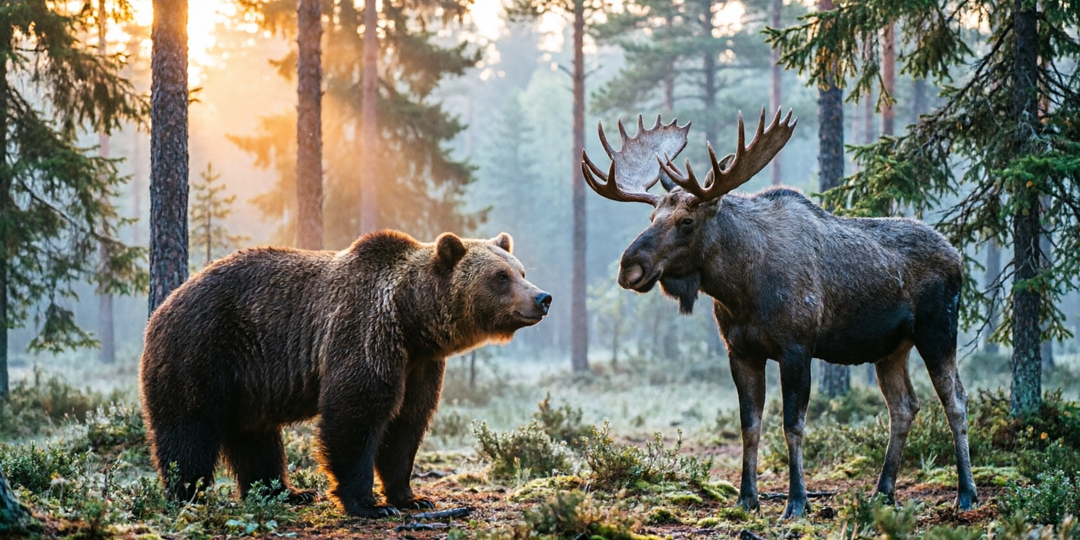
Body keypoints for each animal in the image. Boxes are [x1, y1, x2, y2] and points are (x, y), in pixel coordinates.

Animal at [139, 230, 551, 517]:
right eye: (500, 276)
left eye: (520, 270)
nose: (542, 297)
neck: (411, 319)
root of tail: (163, 305)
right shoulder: (365, 332)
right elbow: (356, 413)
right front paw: (370, 504)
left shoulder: (419, 364)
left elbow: (407, 423)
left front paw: (413, 497)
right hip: (202, 352)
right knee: (189, 430)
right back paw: (189, 496)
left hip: (248, 384)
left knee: (255, 438)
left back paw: (286, 492)